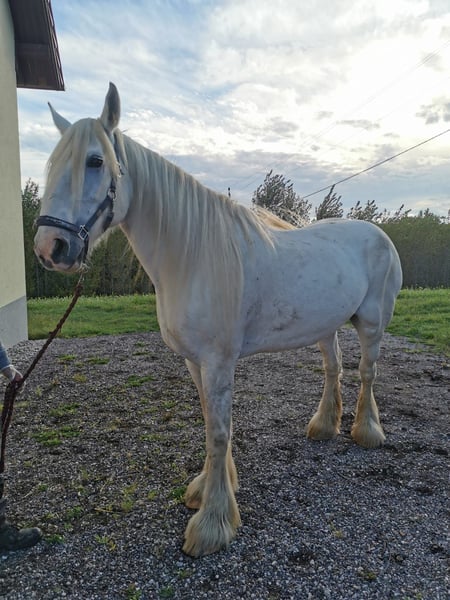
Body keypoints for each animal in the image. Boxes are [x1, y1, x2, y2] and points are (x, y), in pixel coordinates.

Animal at [34, 83, 402, 557]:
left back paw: (367, 432)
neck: (192, 258)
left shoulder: (219, 361)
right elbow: (211, 421)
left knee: (367, 373)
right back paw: (324, 426)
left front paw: (212, 523)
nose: (50, 247)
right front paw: (208, 489)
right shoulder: (195, 361)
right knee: (333, 369)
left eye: (95, 161)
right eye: (53, 164)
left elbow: (221, 431)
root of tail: (379, 235)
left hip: (373, 324)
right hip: (326, 327)